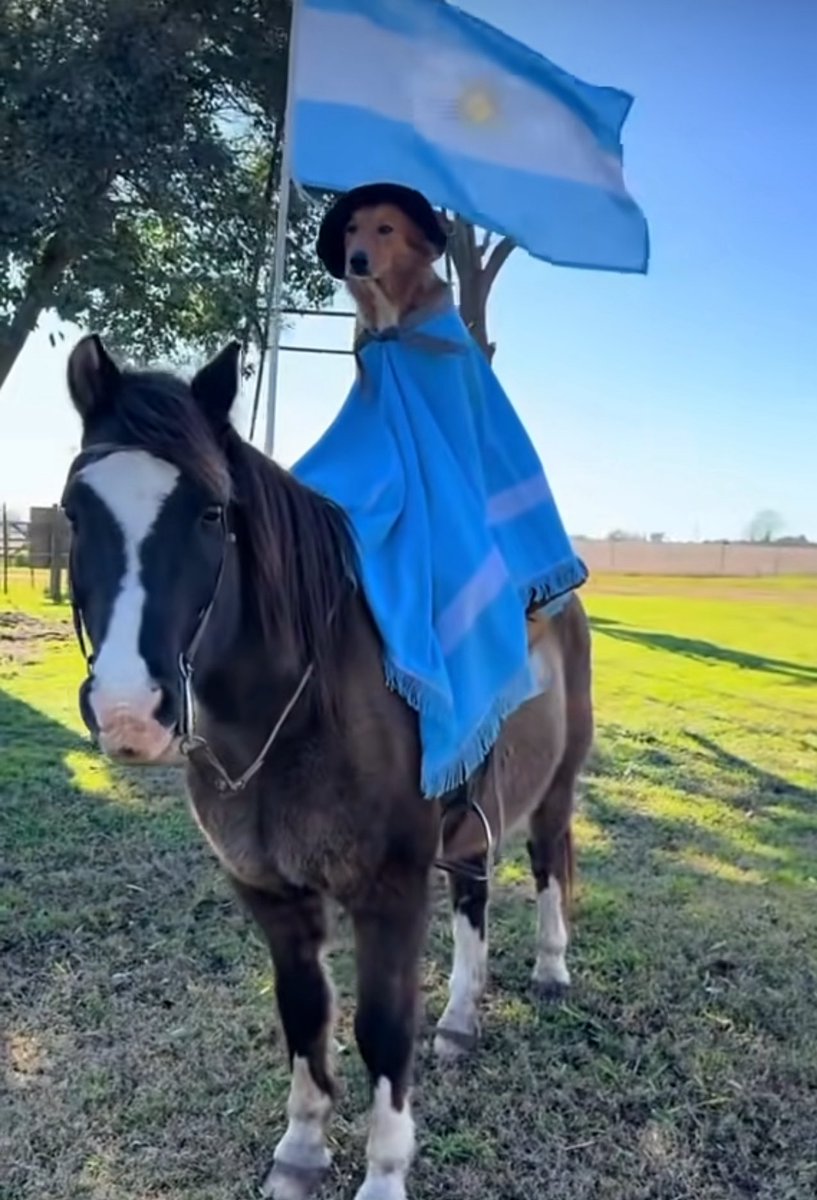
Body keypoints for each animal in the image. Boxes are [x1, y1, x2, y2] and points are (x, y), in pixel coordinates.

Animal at [60, 333, 594, 1200]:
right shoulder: (274, 897)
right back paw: (460, 1018)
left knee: (548, 858)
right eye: (77, 510)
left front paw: (382, 1174)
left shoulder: (390, 894)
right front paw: (301, 1152)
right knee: (474, 896)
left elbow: (382, 1030)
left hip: (555, 783)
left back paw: (550, 967)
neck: (298, 710)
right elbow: (305, 1013)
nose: (130, 712)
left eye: (210, 512)